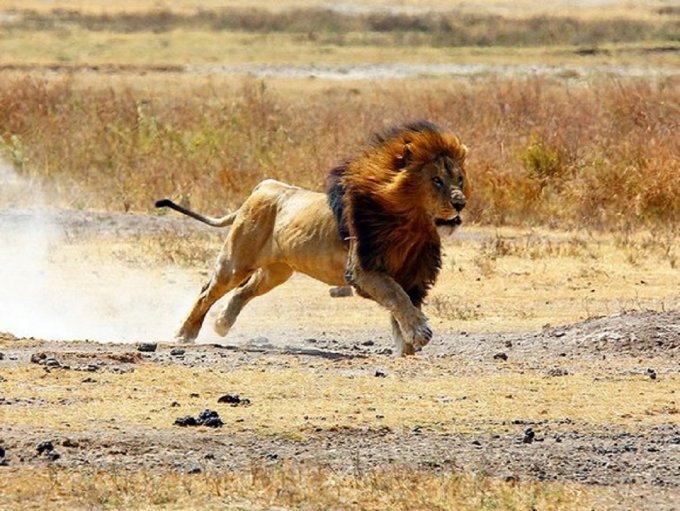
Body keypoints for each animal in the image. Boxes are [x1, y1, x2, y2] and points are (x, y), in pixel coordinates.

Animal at [157, 122, 468, 358]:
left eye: (460, 179)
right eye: (436, 180)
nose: (461, 203)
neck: (412, 227)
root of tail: (264, 186)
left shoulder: (413, 273)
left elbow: (400, 309)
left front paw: (406, 348)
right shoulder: (362, 269)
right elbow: (396, 296)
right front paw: (419, 332)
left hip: (276, 272)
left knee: (244, 291)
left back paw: (222, 323)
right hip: (236, 261)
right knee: (207, 290)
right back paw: (184, 334)